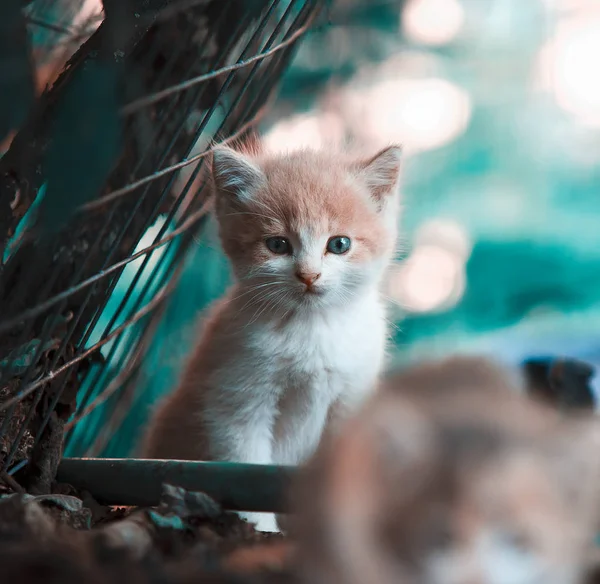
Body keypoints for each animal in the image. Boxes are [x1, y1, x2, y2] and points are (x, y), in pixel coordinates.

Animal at [141, 143, 404, 532]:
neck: (313, 329)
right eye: (278, 245)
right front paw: (261, 529)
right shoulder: (236, 397)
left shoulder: (351, 397)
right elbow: (245, 469)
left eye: (339, 244)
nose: (309, 275)